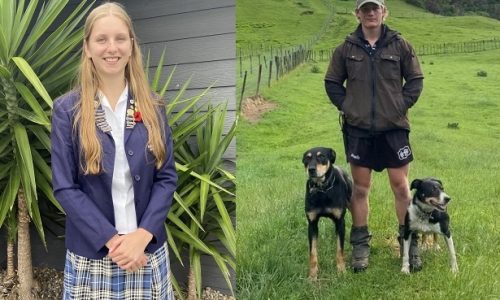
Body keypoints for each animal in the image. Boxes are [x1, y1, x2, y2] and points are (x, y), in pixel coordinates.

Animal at [300, 147, 352, 278]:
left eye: (322, 156)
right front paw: (312, 275)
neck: (322, 190)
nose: (311, 170)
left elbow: (339, 249)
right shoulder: (312, 224)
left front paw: (341, 270)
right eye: (307, 158)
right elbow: (313, 253)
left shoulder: (340, 221)